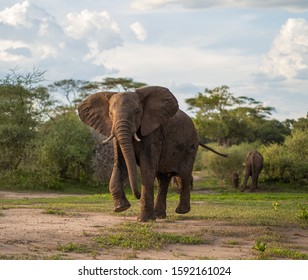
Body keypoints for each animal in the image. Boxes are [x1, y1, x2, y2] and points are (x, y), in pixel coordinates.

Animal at [77, 85, 226, 221]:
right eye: (110, 114)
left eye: (138, 112)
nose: (136, 196)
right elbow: (120, 166)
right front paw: (121, 208)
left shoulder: (153, 133)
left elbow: (147, 168)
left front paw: (143, 220)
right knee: (163, 179)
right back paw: (160, 215)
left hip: (190, 145)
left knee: (183, 175)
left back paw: (181, 211)